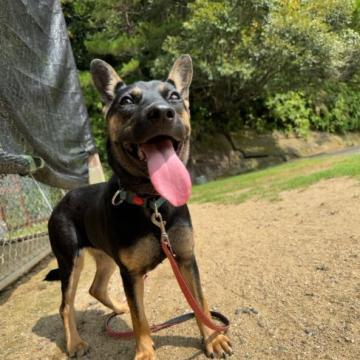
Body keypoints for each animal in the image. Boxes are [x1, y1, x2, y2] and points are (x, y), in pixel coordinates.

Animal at [46, 54, 232, 358]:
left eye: (174, 97)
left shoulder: (185, 258)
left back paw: (117, 308)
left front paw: (212, 338)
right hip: (70, 261)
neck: (151, 202)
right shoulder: (131, 274)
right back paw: (75, 343)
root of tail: (61, 201)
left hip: (106, 257)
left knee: (96, 289)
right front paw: (145, 352)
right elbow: (139, 318)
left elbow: (199, 302)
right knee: (65, 305)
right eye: (127, 101)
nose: (162, 113)